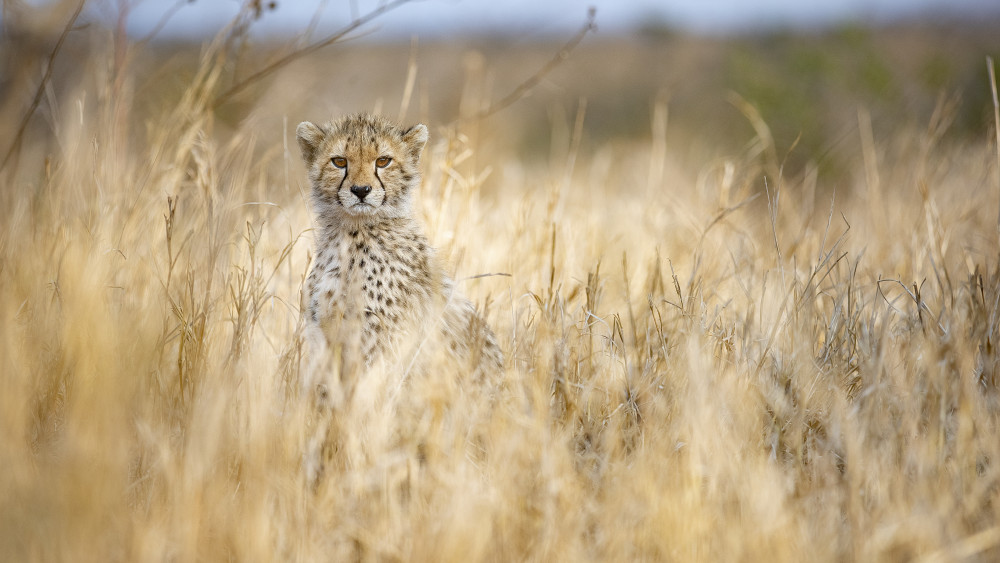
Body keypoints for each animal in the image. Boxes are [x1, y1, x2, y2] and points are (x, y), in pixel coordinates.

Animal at [294, 111, 500, 392]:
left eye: (383, 161)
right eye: (339, 161)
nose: (360, 190)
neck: (351, 232)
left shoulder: (380, 342)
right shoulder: (323, 338)